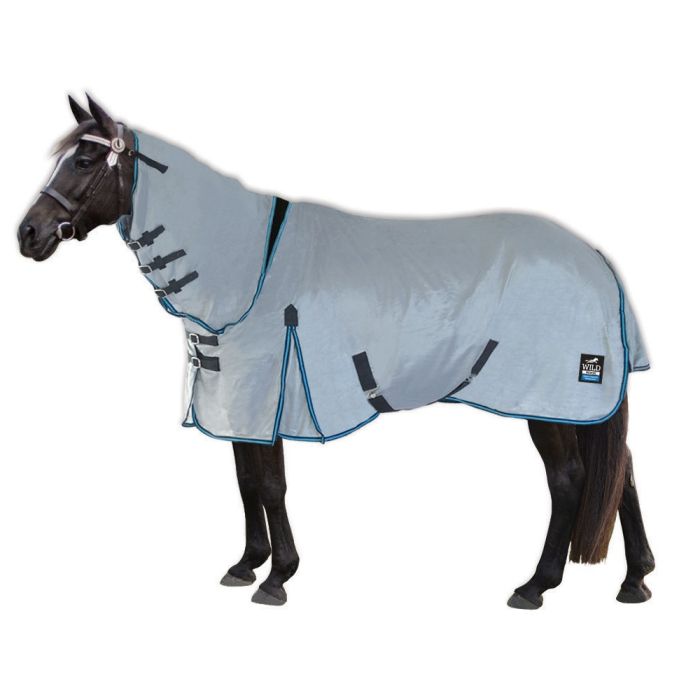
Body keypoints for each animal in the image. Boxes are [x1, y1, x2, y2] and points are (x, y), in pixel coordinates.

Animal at [17, 95, 655, 608]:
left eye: (83, 161)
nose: (28, 234)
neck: (249, 265)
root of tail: (595, 258)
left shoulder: (264, 387)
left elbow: (270, 484)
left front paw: (279, 577)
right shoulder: (236, 395)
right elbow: (245, 478)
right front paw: (245, 565)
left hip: (548, 400)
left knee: (569, 479)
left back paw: (535, 586)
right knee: (618, 472)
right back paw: (635, 581)